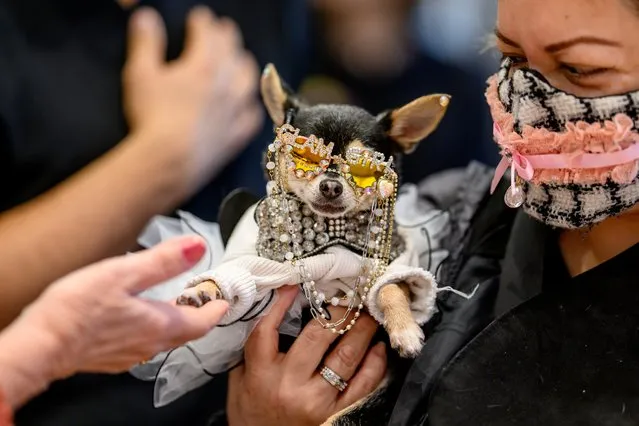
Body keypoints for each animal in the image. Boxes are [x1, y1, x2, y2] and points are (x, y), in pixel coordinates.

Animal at [178, 65, 452, 424]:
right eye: (303, 156)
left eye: (364, 169)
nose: (331, 186)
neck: (330, 234)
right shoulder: (266, 266)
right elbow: (238, 274)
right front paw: (203, 290)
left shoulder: (393, 261)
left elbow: (391, 285)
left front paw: (404, 330)